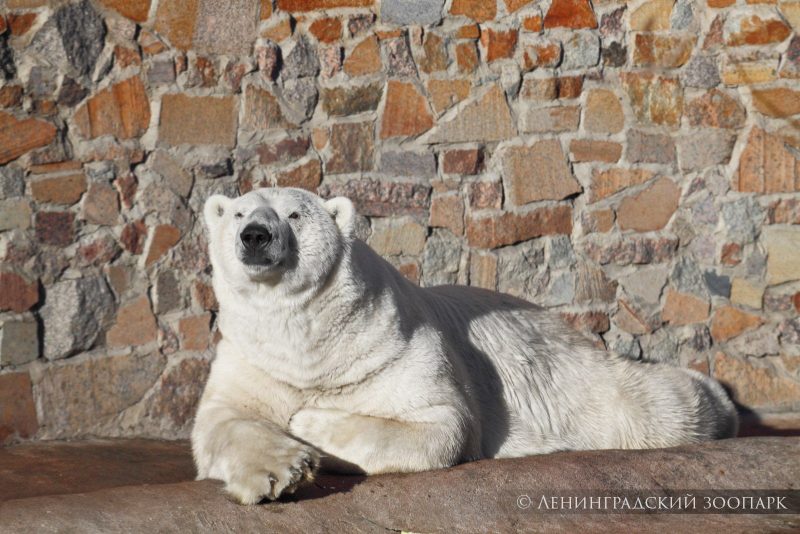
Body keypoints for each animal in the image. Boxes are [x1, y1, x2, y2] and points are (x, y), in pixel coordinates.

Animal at [192, 187, 736, 506]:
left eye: (295, 213)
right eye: (238, 212)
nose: (255, 236)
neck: (311, 339)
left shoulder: (394, 344)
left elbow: (441, 424)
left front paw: (308, 422)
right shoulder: (254, 358)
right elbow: (224, 420)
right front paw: (279, 471)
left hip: (582, 384)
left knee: (657, 405)